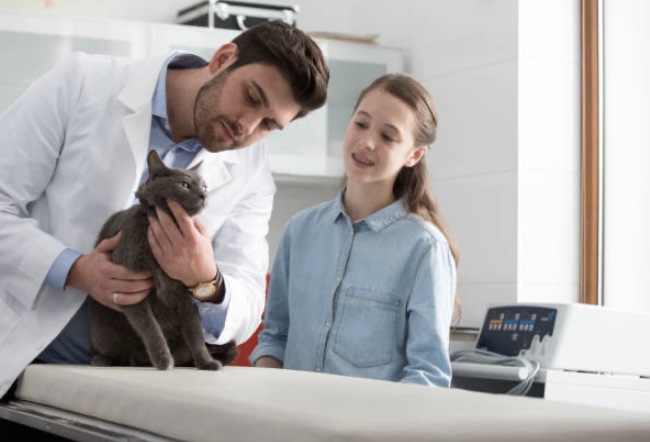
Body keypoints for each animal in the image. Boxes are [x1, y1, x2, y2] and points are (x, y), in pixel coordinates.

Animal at [88, 150, 235, 372]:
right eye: (185, 185)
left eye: (205, 186)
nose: (204, 195)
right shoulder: (131, 288)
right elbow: (150, 328)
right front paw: (163, 359)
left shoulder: (185, 297)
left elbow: (195, 334)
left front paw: (206, 362)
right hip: (102, 331)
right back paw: (104, 360)